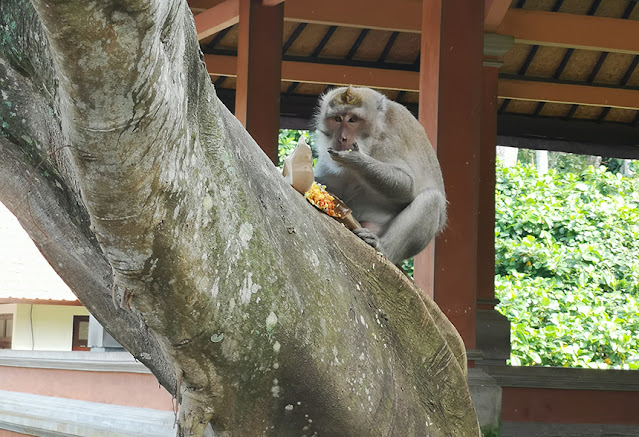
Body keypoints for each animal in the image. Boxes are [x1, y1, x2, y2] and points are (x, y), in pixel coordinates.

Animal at [314, 83, 444, 264]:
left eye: (353, 119)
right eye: (337, 119)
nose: (342, 138)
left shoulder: (390, 141)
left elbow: (408, 186)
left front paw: (356, 159)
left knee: (432, 199)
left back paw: (383, 247)